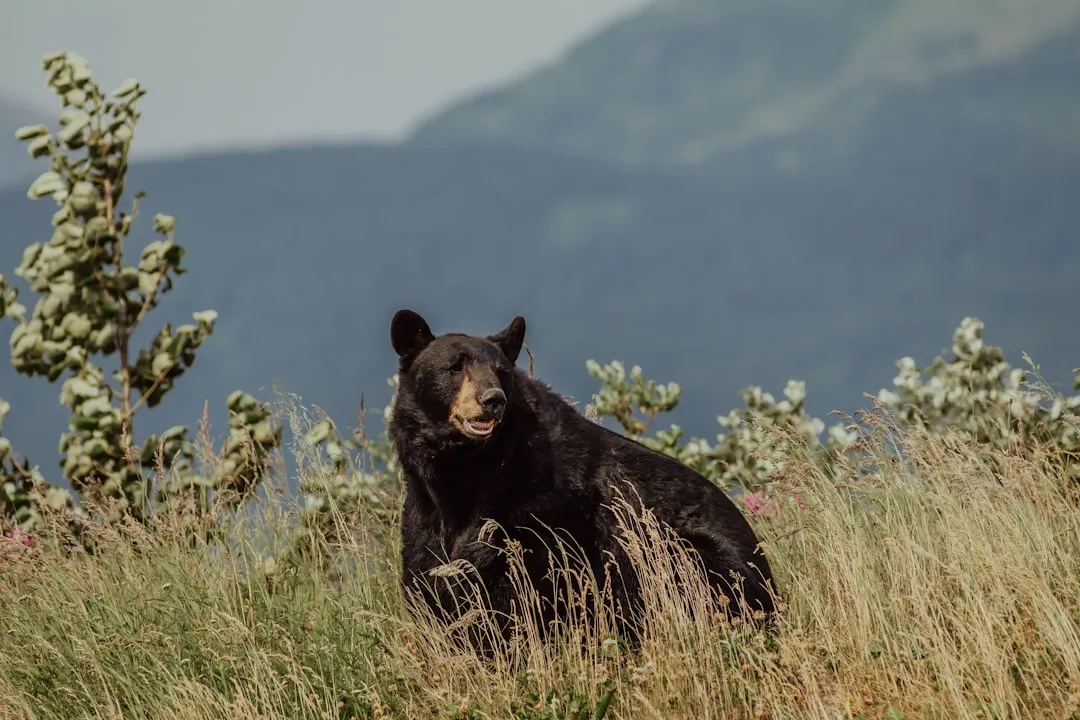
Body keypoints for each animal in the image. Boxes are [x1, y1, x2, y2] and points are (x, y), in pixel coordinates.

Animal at [387, 308, 777, 652]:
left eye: (501, 372)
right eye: (455, 367)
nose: (493, 399)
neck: (467, 471)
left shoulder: (537, 509)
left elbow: (517, 586)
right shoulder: (424, 511)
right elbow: (429, 576)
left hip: (688, 556)